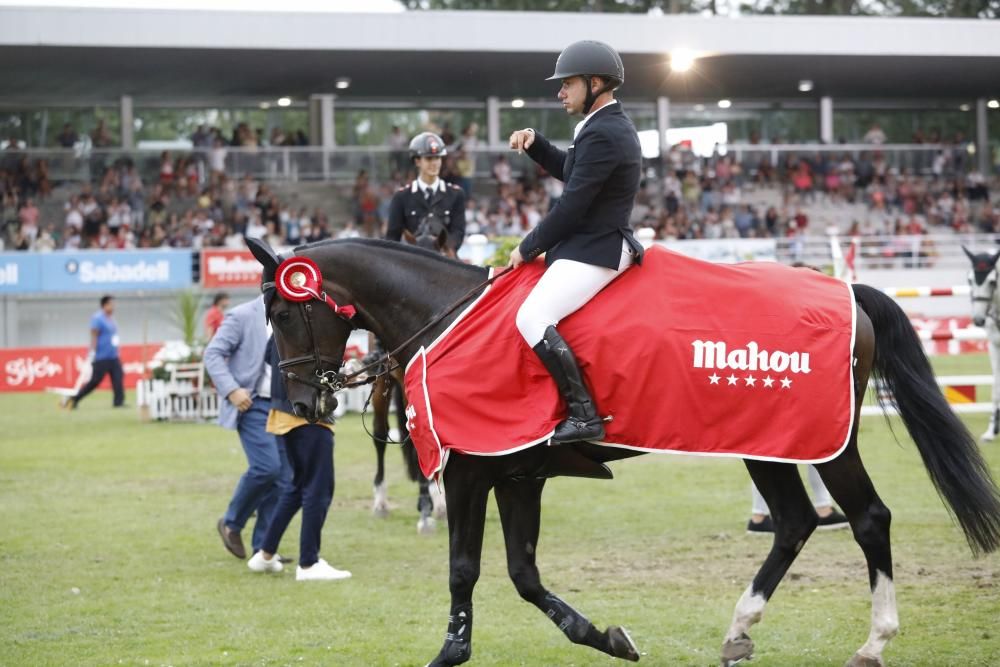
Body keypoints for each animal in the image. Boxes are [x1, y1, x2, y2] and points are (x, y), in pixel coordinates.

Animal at [244, 239, 1000, 667]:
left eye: (282, 313)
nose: (303, 404)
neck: (448, 315)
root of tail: (847, 289)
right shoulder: (517, 474)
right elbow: (523, 573)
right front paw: (607, 637)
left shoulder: (470, 473)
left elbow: (465, 570)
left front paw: (450, 651)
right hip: (768, 443)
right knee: (794, 522)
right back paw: (739, 629)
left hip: (823, 444)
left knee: (868, 518)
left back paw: (873, 641)